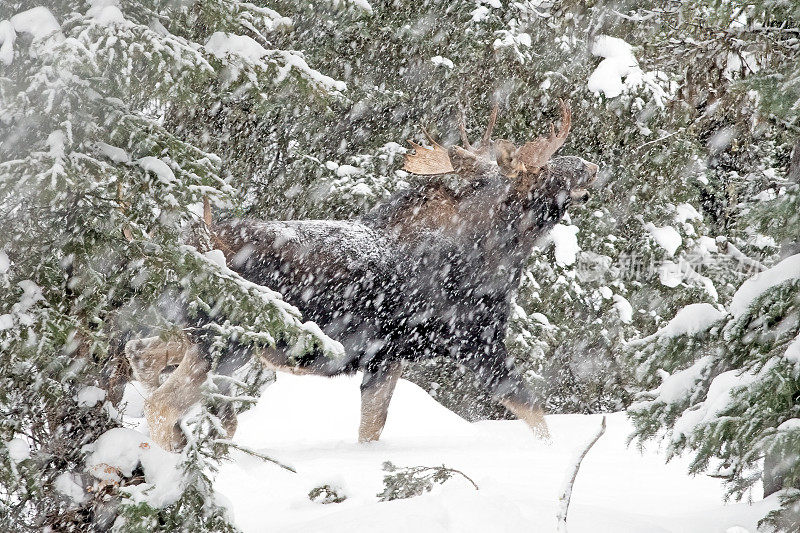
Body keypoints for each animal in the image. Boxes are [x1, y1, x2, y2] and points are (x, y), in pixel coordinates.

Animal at [126, 100, 600, 448]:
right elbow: (534, 411)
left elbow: (370, 429)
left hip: (186, 330)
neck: (500, 256)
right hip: (226, 343)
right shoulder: (474, 341)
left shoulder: (386, 357)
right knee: (162, 405)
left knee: (139, 353)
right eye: (543, 168)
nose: (589, 165)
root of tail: (188, 244)